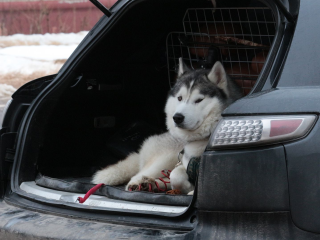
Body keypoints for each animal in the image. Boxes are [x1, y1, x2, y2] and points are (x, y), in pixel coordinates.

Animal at [92, 59, 242, 194]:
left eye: (199, 100)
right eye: (180, 98)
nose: (177, 117)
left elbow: (176, 175)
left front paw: (189, 190)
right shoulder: (183, 162)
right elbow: (175, 174)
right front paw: (188, 188)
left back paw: (151, 184)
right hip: (165, 159)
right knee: (142, 175)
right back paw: (141, 184)